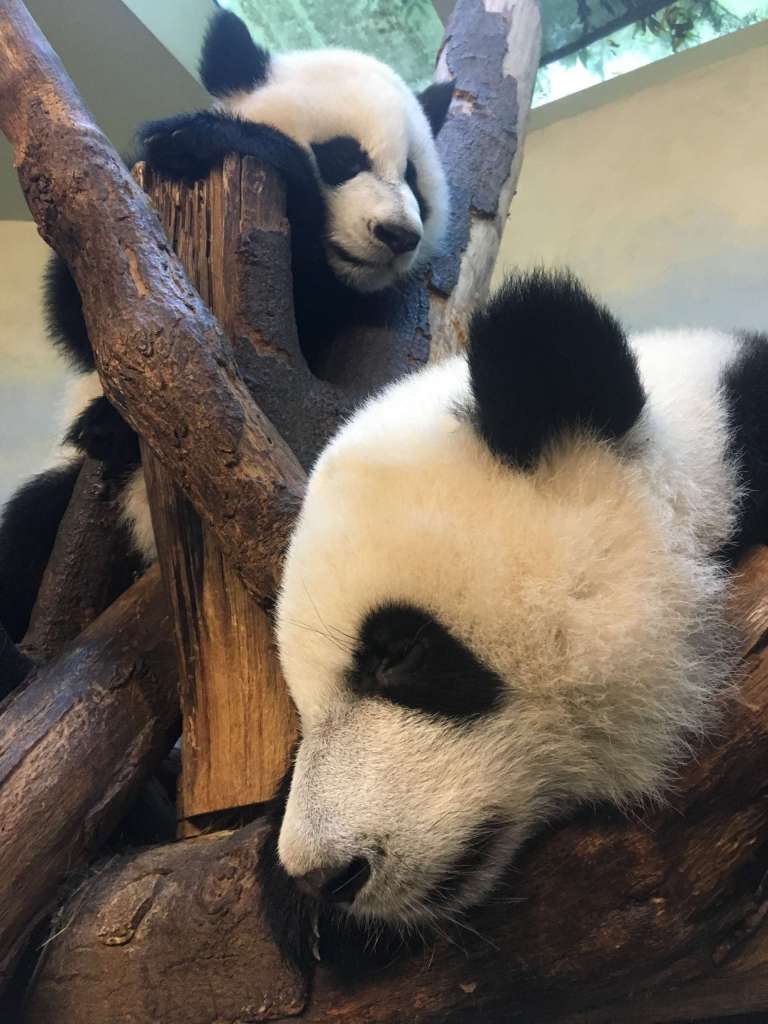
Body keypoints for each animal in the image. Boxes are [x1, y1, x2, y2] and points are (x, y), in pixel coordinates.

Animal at [0, 10, 451, 645]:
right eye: (343, 159)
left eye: (414, 179)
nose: (398, 235)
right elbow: (83, 306)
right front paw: (187, 138)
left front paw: (224, 141)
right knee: (26, 531)